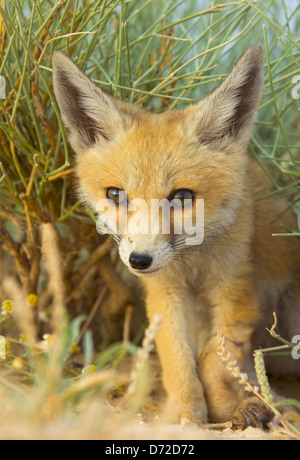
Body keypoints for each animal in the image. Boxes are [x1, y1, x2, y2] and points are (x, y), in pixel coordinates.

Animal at [52, 46, 298, 428]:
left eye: (182, 197)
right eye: (115, 195)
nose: (139, 260)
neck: (192, 263)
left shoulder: (235, 288)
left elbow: (217, 358)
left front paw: (224, 405)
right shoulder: (165, 292)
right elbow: (178, 359)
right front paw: (185, 415)